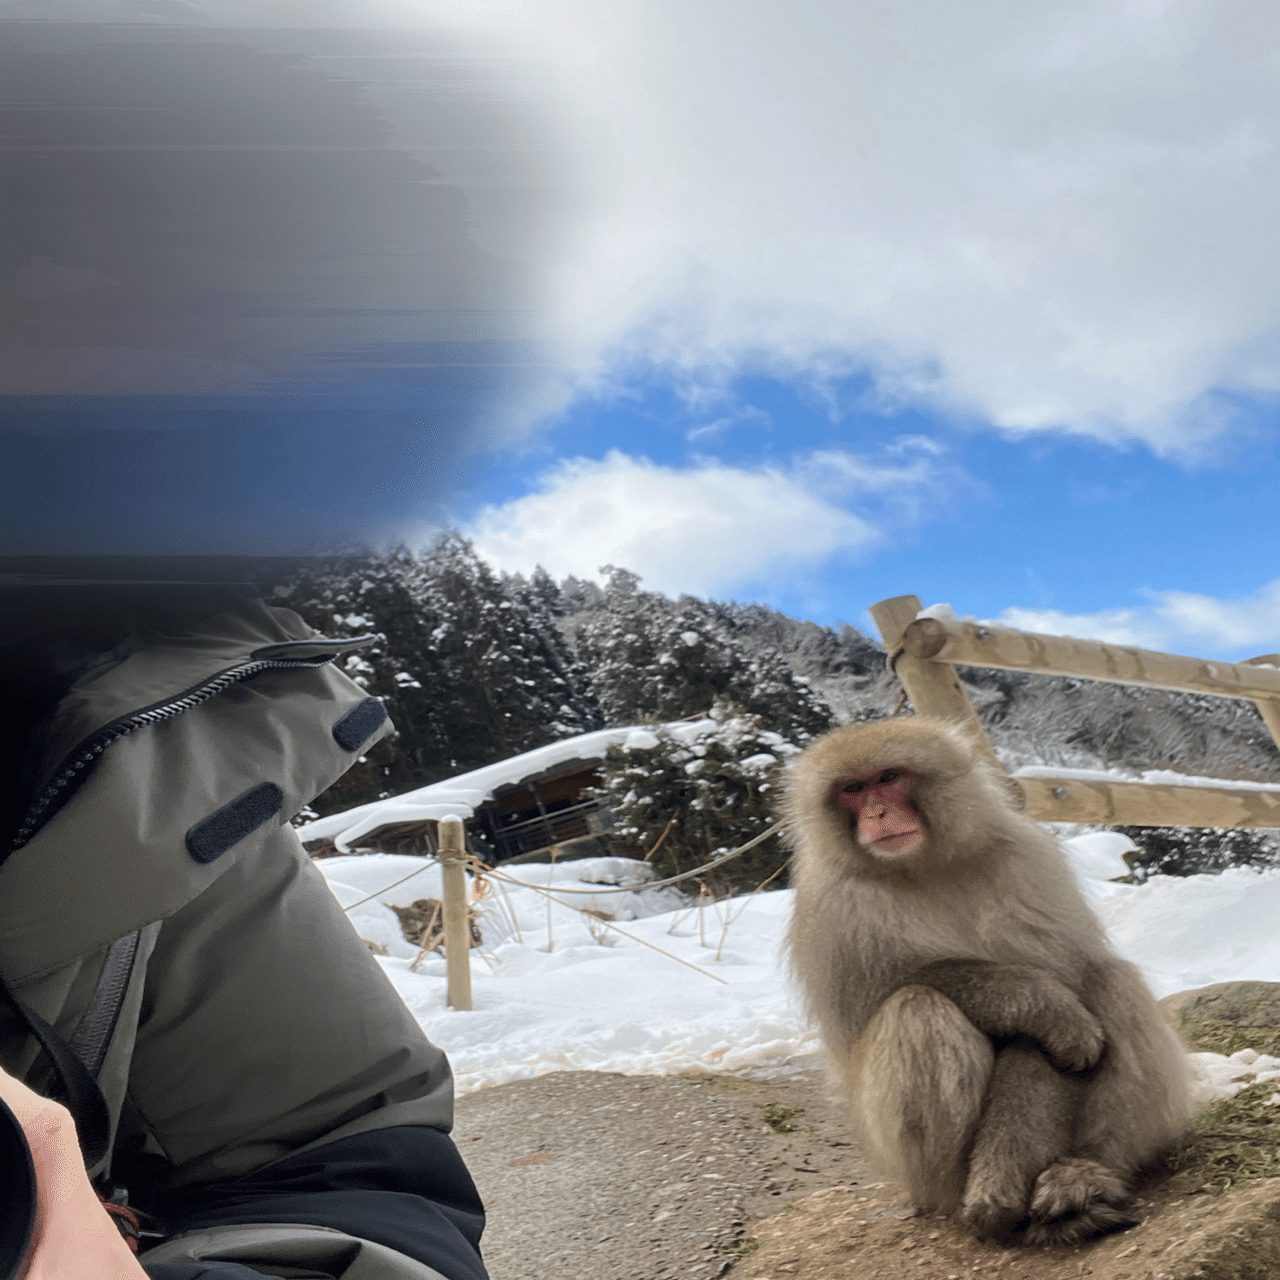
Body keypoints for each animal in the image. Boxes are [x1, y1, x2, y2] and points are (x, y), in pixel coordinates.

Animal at [783, 716, 1192, 1247]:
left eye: (889, 778)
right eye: (852, 789)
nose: (876, 812)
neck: (924, 866)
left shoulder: (1028, 860)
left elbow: (1059, 1008)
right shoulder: (833, 902)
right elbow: (883, 996)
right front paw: (1044, 1005)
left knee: (1108, 979)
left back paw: (1082, 1177)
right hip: (914, 1172)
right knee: (915, 1007)